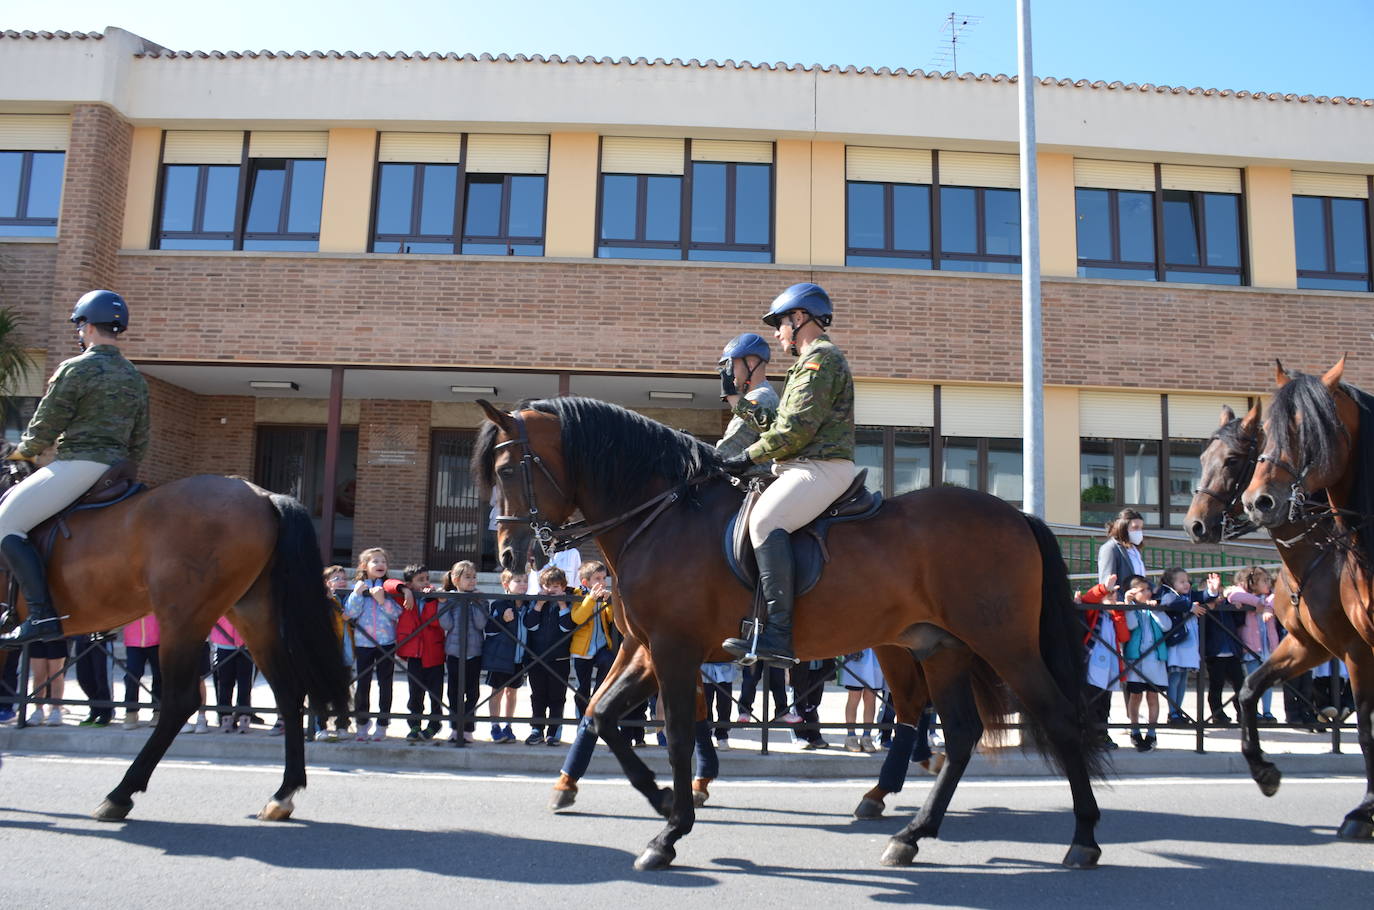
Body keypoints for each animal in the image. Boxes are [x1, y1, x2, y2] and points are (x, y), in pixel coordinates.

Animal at [0, 459, 351, 824]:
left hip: (182, 621)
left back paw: (120, 794)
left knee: (180, 702)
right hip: (251, 614)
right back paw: (282, 794)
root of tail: (265, 496)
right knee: (287, 692)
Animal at [472, 398, 1104, 879]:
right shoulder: (644, 649)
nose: (508, 557)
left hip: (1005, 645)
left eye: (506, 472)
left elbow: (676, 736)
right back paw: (911, 834)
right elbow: (601, 715)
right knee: (960, 733)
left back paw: (1083, 839)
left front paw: (669, 832)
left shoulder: (673, 650)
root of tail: (1016, 516)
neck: (661, 516)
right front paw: (661, 799)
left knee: (1058, 718)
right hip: (939, 648)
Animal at [1181, 398, 1374, 841]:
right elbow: (1249, 689)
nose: (1195, 524)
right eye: (1202, 458)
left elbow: (1368, 729)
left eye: (1233, 460)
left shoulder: (1356, 651)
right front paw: (1263, 770)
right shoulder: (1309, 645)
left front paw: (1364, 812)